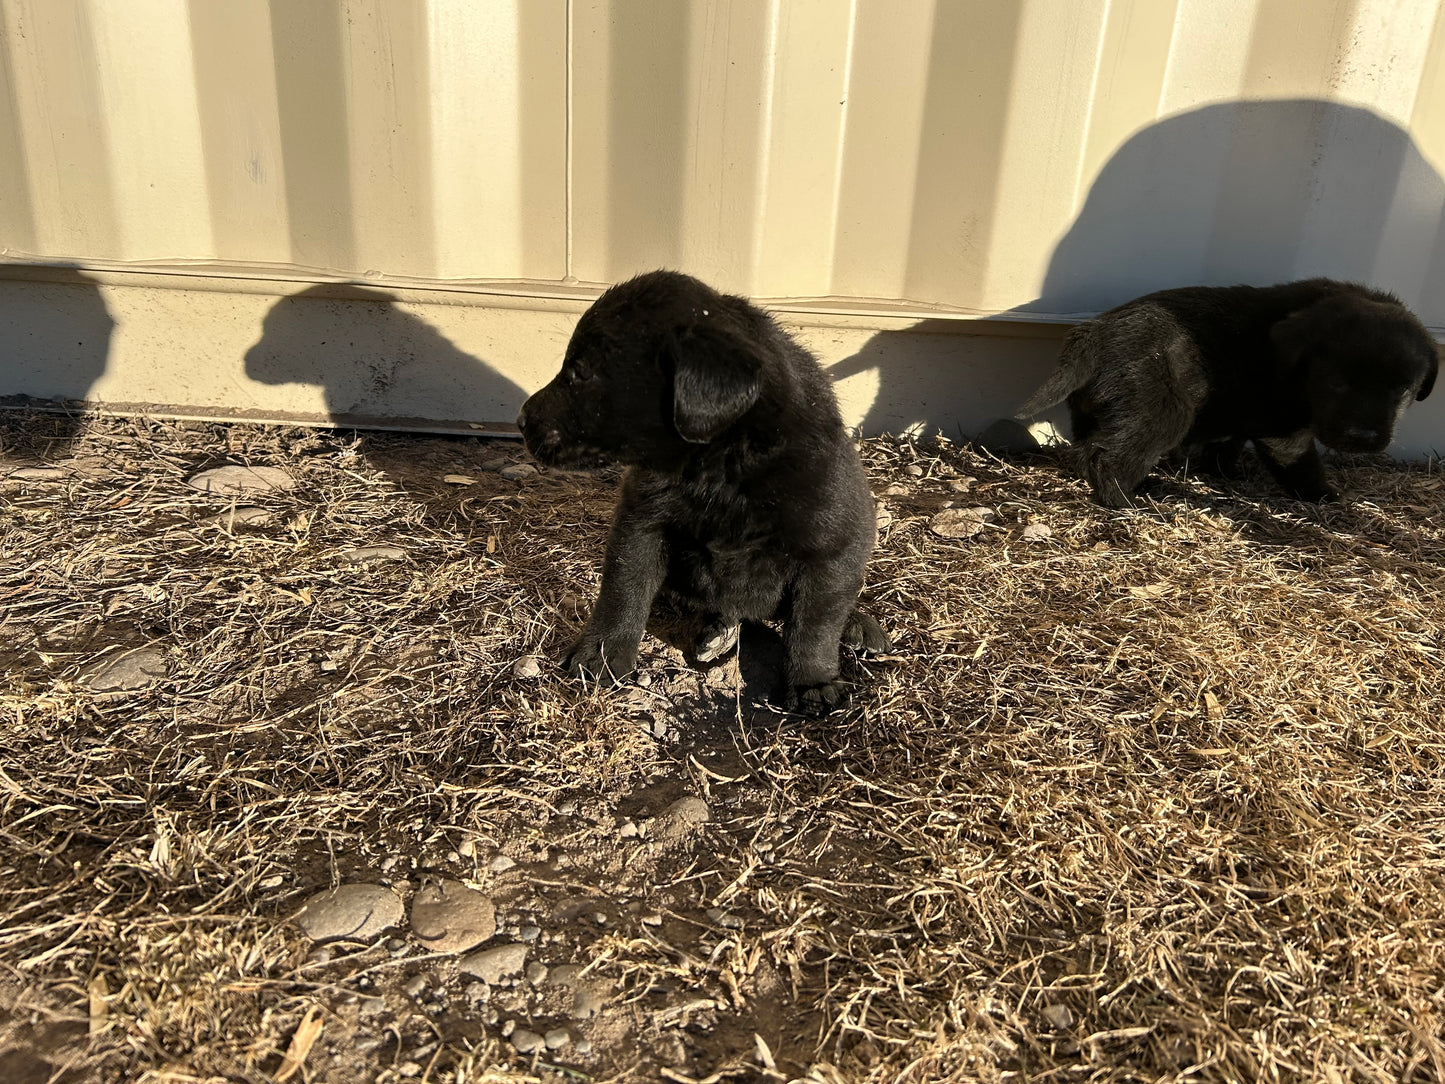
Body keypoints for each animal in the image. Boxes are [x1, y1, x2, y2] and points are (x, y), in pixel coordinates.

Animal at [514, 270, 884, 713]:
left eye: (582, 373)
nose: (520, 420)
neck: (723, 466)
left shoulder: (831, 548)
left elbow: (816, 624)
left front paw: (813, 681)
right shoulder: (641, 521)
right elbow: (622, 589)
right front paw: (600, 655)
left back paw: (858, 626)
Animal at [1017, 277, 1433, 508]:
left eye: (1402, 390)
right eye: (1338, 382)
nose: (1362, 438)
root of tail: (1090, 336)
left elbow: (1228, 442)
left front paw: (1225, 472)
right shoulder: (1282, 424)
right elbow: (1299, 461)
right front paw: (1322, 495)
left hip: (1099, 409)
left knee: (1090, 448)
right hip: (1161, 410)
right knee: (1108, 457)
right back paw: (1125, 502)